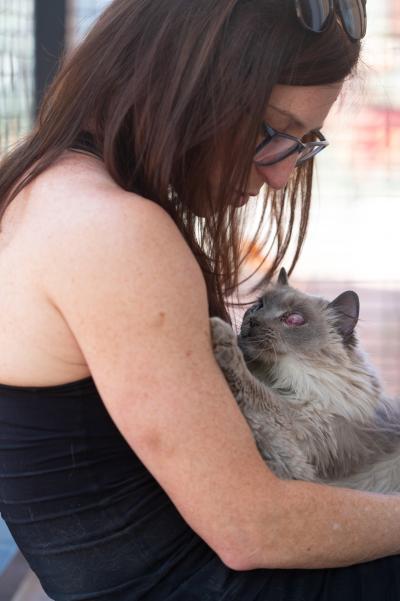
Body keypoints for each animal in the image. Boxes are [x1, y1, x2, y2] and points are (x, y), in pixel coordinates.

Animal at [209, 270, 400, 494]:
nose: (253, 320)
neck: (278, 378)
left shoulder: (301, 441)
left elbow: (258, 393)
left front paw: (219, 329)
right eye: (259, 305)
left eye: (294, 319)